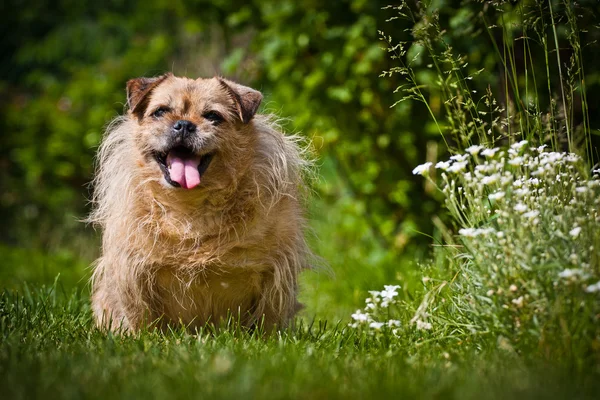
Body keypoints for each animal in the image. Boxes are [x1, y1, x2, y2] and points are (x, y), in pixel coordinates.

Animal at [91, 73, 312, 332]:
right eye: (160, 112)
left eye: (213, 116)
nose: (184, 124)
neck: (191, 207)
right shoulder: (132, 272)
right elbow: (140, 316)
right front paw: (137, 336)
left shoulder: (275, 272)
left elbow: (268, 319)